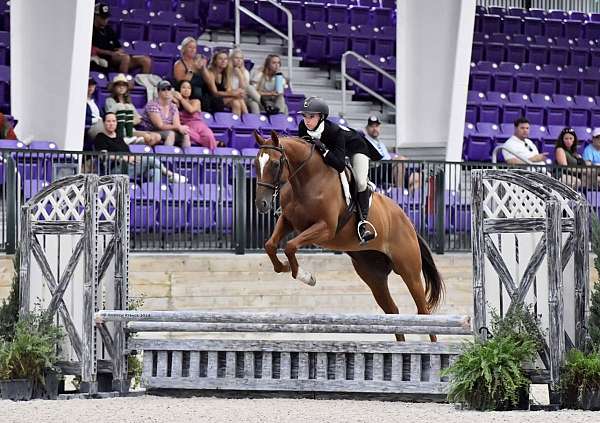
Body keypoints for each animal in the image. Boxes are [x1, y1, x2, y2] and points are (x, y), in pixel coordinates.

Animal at [251, 132, 442, 342]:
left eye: (275, 164)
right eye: (255, 163)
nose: (261, 204)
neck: (307, 180)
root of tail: (408, 222)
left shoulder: (325, 228)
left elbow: (290, 246)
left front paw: (306, 277)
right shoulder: (288, 221)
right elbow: (270, 245)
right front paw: (284, 267)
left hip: (409, 270)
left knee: (423, 310)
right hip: (373, 275)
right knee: (392, 310)